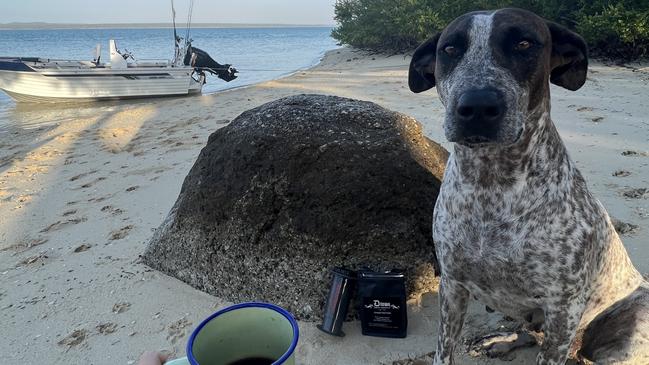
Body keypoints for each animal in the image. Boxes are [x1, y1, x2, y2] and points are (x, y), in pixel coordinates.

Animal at [408, 6, 648, 364]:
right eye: (450, 49)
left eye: (524, 43)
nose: (477, 106)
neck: (490, 187)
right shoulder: (452, 286)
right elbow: (444, 350)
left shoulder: (563, 308)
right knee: (529, 332)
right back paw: (502, 339)